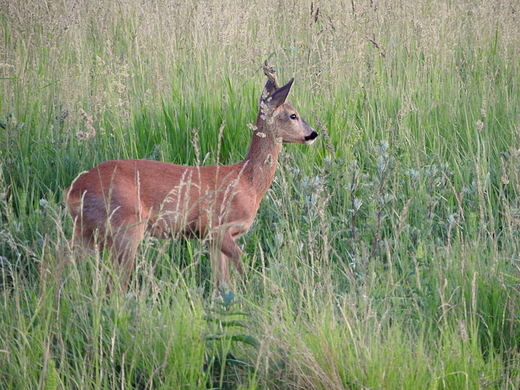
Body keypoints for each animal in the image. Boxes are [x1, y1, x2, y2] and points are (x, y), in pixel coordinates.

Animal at [64, 64, 316, 290]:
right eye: (293, 115)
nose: (313, 134)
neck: (247, 181)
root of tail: (74, 190)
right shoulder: (215, 226)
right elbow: (241, 266)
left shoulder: (212, 239)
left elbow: (222, 283)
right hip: (125, 225)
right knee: (113, 283)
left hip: (87, 230)